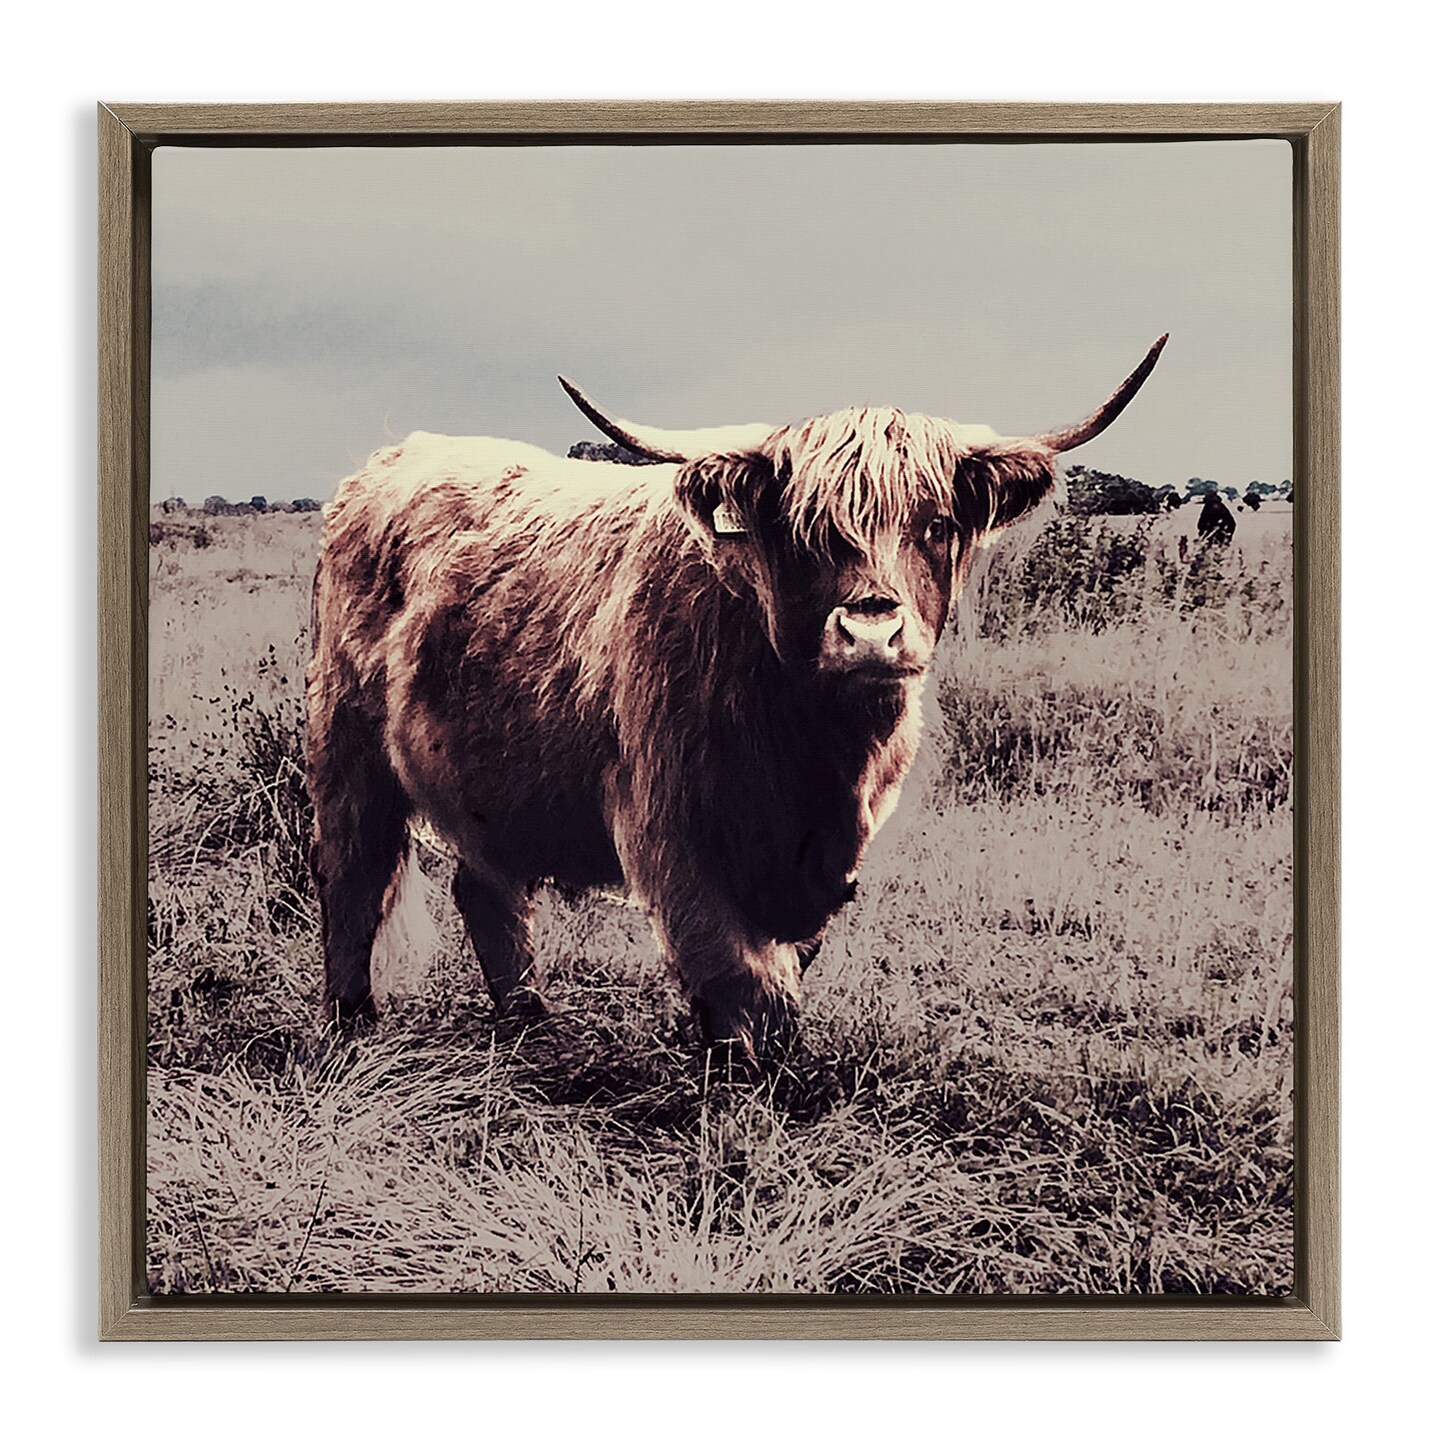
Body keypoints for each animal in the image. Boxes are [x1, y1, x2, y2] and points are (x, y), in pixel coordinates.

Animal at [306, 336, 1168, 1067]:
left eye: (935, 524)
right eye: (805, 531)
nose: (870, 632)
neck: (815, 752)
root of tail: (394, 457)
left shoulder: (830, 854)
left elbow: (785, 963)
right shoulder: (670, 827)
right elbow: (739, 974)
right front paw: (742, 1081)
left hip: (490, 778)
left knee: (485, 887)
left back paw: (529, 1022)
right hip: (346, 746)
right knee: (353, 874)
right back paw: (351, 1022)